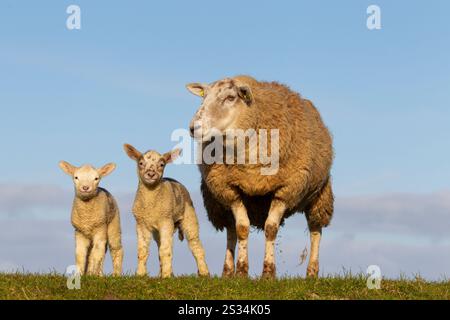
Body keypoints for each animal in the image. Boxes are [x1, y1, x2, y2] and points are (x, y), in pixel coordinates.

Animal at [124, 144, 210, 278]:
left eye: (162, 164)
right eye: (141, 163)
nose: (150, 174)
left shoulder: (165, 221)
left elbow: (165, 251)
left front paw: (166, 276)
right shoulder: (141, 223)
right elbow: (143, 251)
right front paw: (140, 274)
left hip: (188, 217)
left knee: (195, 245)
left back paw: (204, 272)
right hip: (160, 230)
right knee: (163, 247)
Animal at [186, 75, 334, 278]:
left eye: (231, 97)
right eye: (204, 97)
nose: (193, 128)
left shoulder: (285, 189)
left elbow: (271, 229)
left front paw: (268, 273)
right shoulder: (230, 190)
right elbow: (241, 229)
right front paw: (241, 271)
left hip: (319, 194)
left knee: (315, 230)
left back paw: (312, 272)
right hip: (218, 201)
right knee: (231, 230)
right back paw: (227, 271)